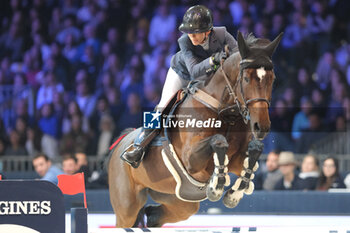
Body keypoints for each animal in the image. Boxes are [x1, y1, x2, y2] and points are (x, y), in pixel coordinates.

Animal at [108, 31, 284, 228]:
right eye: (246, 79)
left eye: (272, 79)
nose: (261, 127)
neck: (225, 112)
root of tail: (119, 143)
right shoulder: (191, 159)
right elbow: (218, 140)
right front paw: (216, 186)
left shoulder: (236, 160)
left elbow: (254, 152)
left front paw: (233, 194)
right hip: (127, 206)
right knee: (127, 218)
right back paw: (134, 154)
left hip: (180, 201)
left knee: (153, 215)